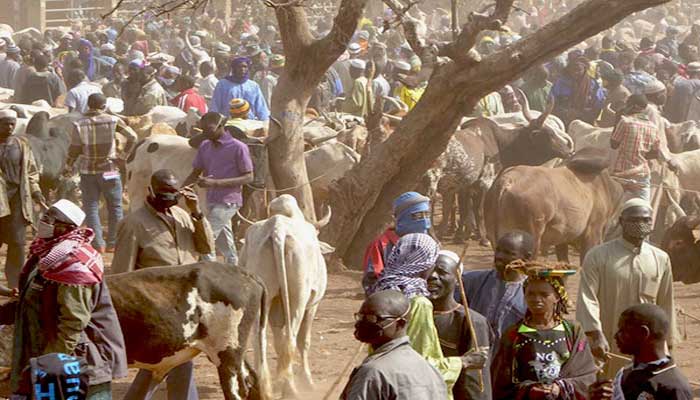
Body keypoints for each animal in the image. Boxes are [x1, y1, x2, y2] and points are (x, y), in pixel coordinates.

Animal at [238, 195, 330, 396]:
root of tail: (277, 229)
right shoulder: (313, 305)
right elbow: (304, 341)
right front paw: (307, 380)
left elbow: (277, 343)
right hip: (298, 298)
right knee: (291, 338)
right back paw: (290, 387)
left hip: (262, 298)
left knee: (260, 339)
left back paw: (265, 386)